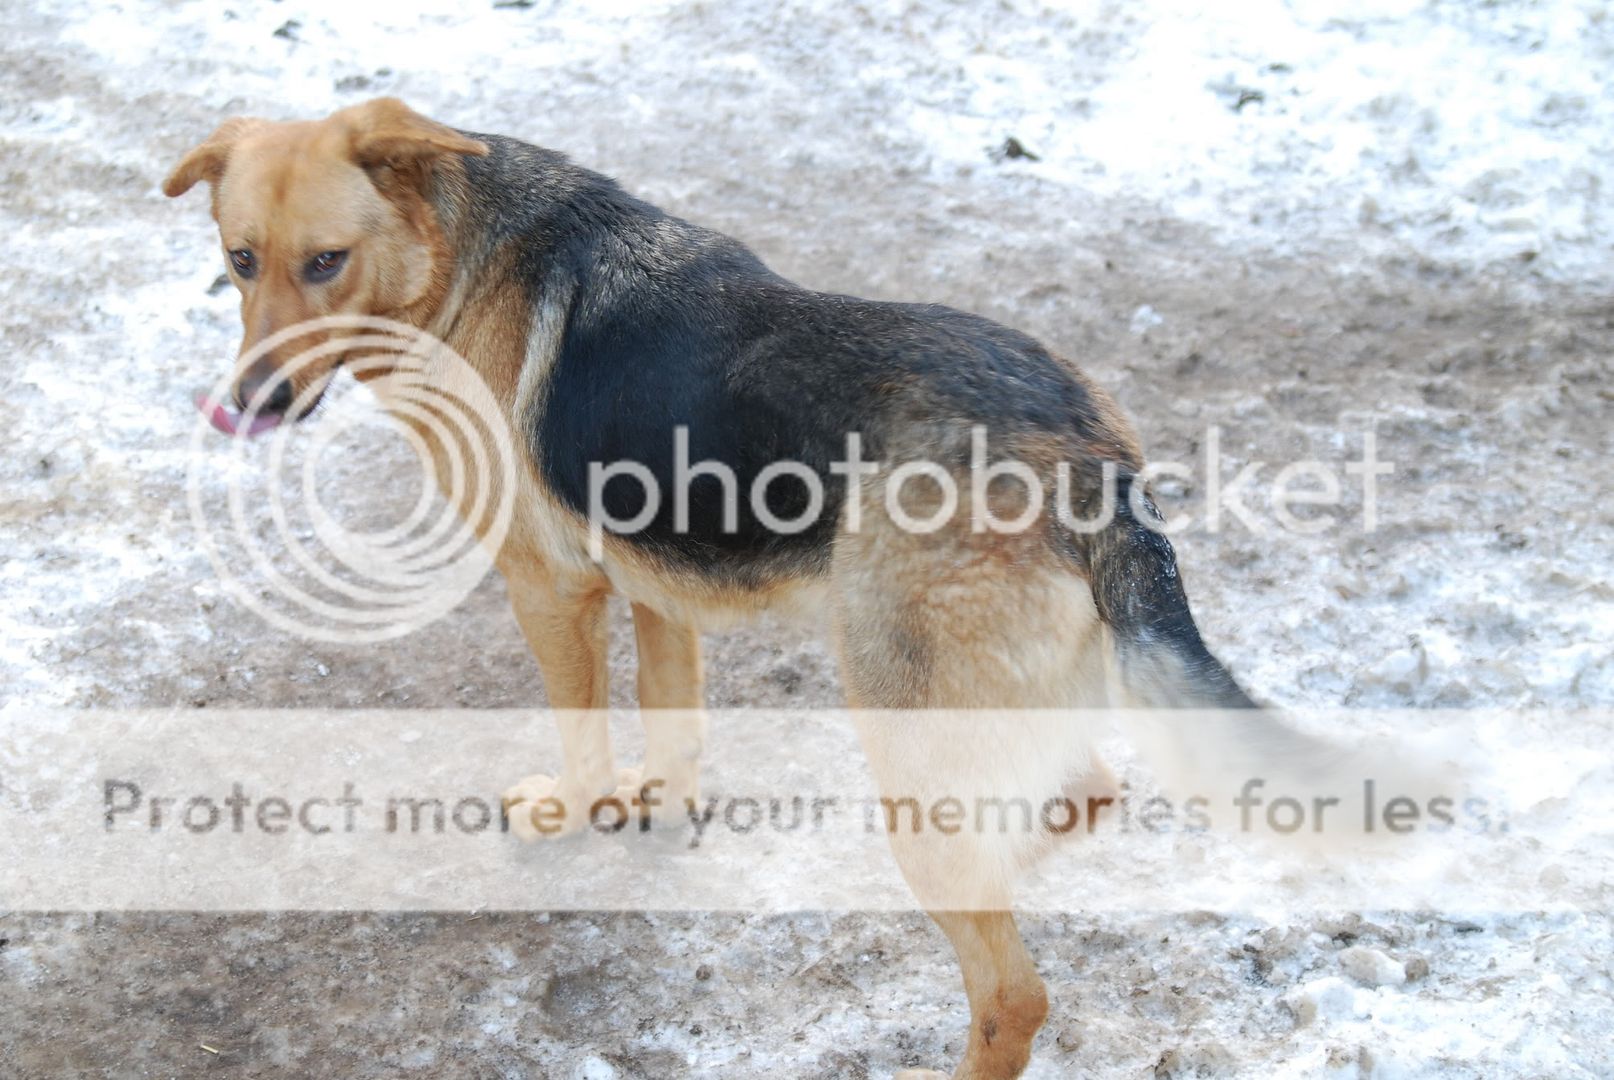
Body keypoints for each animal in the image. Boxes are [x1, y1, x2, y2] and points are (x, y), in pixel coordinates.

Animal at [167, 96, 1375, 1071]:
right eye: (240, 261)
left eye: (327, 262)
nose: (246, 406)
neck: (460, 252)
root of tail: (1094, 466)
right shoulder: (654, 587)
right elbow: (671, 718)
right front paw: (659, 807)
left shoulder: (552, 591)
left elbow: (582, 731)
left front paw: (578, 811)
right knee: (1077, 798)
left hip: (906, 730)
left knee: (1013, 993)